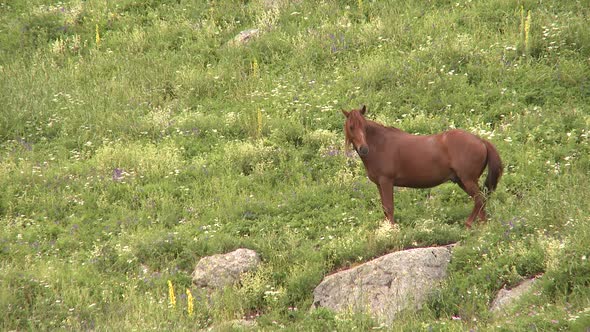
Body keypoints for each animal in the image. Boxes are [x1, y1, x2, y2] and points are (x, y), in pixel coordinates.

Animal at [342, 105, 504, 228]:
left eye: (364, 127)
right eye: (351, 127)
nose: (364, 149)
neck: (380, 145)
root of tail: (480, 140)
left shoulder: (386, 182)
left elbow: (389, 207)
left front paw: (392, 230)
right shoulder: (379, 184)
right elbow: (385, 209)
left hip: (468, 180)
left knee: (479, 200)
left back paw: (469, 224)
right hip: (463, 181)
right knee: (481, 201)